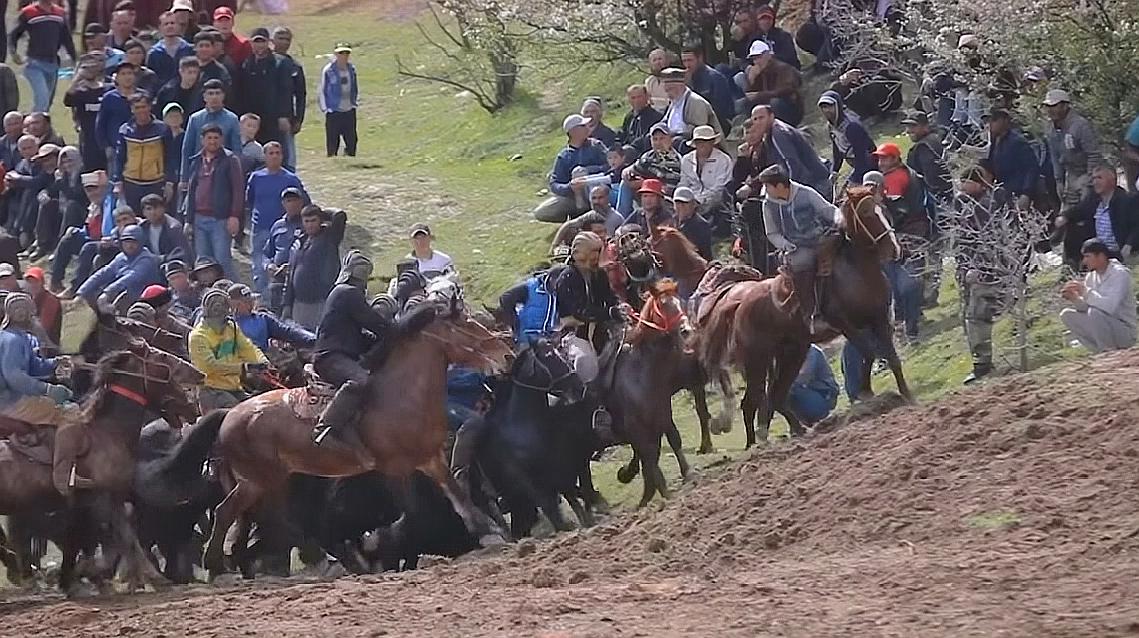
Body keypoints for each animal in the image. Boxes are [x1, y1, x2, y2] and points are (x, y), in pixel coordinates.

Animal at [0, 346, 201, 596]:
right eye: (165, 362)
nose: (193, 406)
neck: (107, 432)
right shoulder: (101, 500)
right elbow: (117, 539)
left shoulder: (104, 501)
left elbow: (108, 540)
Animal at [202, 303, 514, 578]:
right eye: (466, 325)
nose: (507, 355)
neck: (401, 394)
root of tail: (230, 415)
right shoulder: (395, 468)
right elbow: (412, 515)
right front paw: (382, 551)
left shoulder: (431, 459)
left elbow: (459, 497)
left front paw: (490, 533)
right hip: (264, 479)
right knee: (263, 519)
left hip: (261, 482)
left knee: (236, 515)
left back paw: (225, 566)